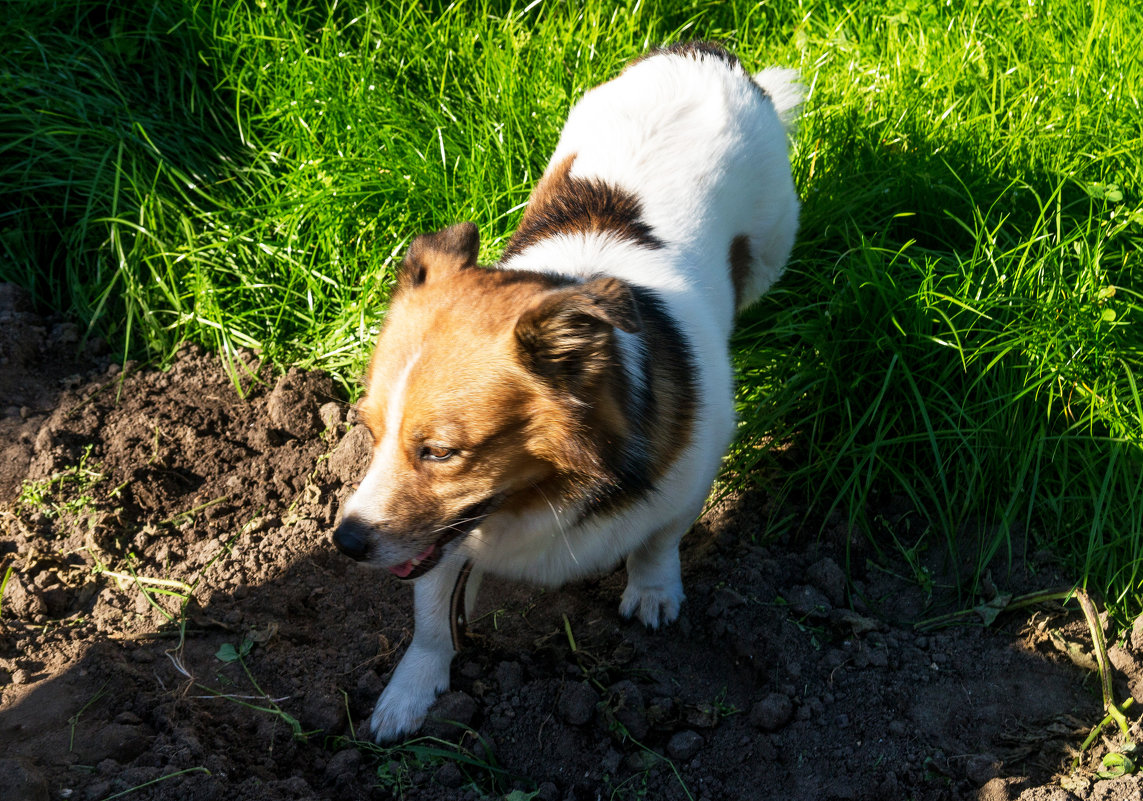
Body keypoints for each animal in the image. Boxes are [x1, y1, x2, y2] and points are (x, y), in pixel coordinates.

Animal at [333, 42, 804, 745]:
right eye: (367, 430)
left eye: (441, 452)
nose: (346, 542)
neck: (544, 493)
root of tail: (701, 51)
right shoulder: (439, 544)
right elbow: (432, 619)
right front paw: (410, 691)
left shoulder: (693, 473)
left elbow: (658, 543)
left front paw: (653, 592)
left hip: (773, 241)